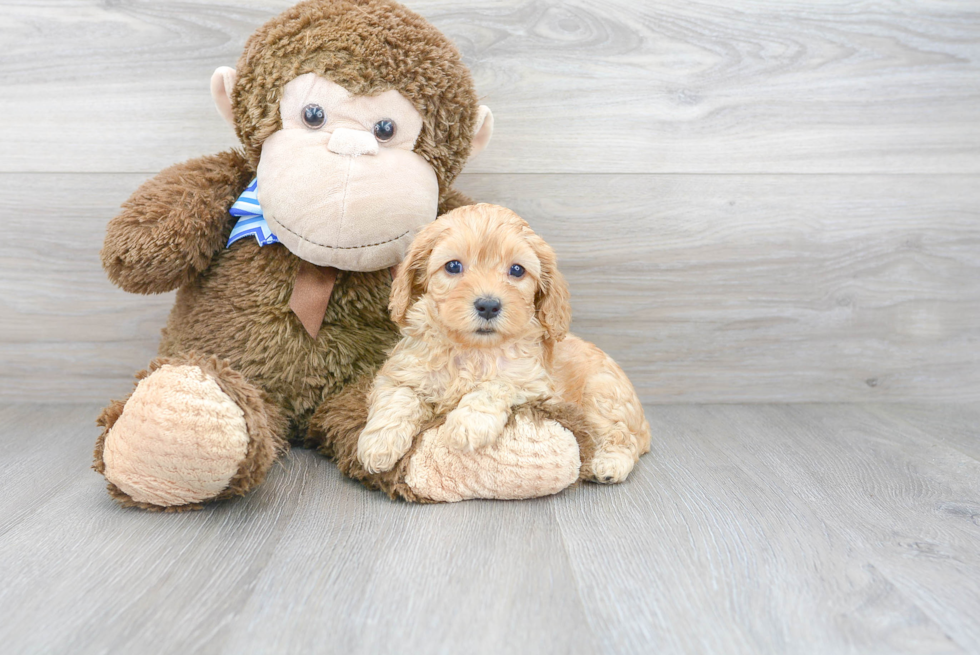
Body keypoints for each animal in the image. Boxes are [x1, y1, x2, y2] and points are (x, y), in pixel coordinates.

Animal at [354, 202, 652, 484]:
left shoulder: (533, 384)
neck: (472, 349)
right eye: (453, 266)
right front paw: (378, 444)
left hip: (602, 394)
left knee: (623, 436)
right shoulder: (402, 371)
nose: (488, 305)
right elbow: (398, 397)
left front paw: (467, 424)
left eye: (517, 270)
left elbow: (494, 385)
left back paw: (609, 464)